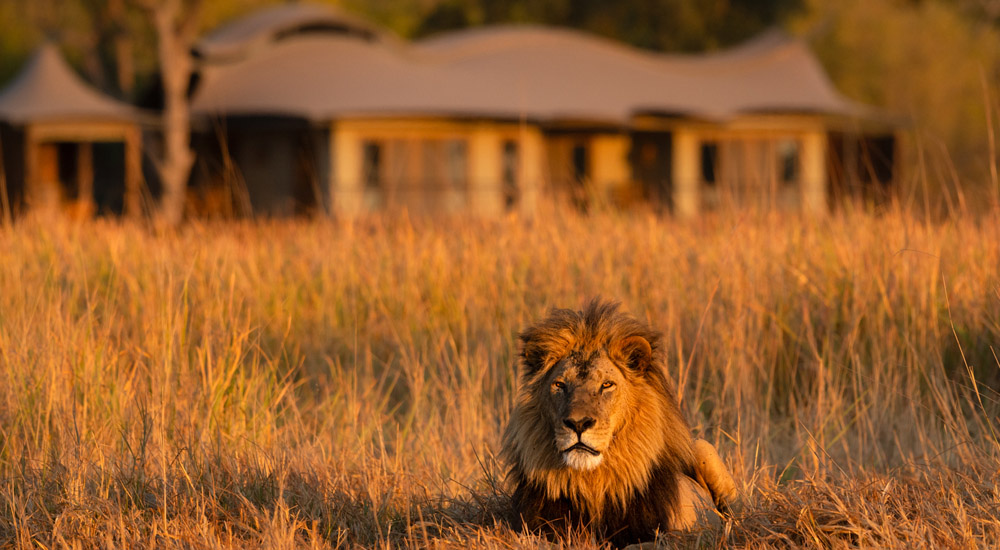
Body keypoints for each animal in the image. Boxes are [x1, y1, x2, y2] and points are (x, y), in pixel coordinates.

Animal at [502, 300, 738, 546]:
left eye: (606, 385)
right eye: (560, 385)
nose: (578, 424)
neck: (592, 483)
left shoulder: (663, 536)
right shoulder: (535, 528)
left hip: (702, 447)